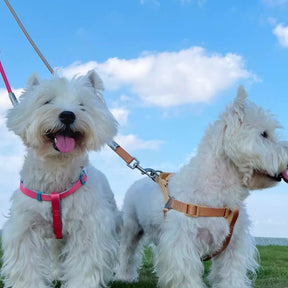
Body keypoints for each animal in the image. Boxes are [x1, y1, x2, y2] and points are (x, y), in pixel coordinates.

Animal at [1, 70, 120, 288]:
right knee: (56, 255)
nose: (67, 115)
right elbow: (28, 266)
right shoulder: (25, 227)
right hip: (55, 239)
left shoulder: (89, 228)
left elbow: (84, 264)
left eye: (82, 105)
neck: (56, 169)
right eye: (47, 101)